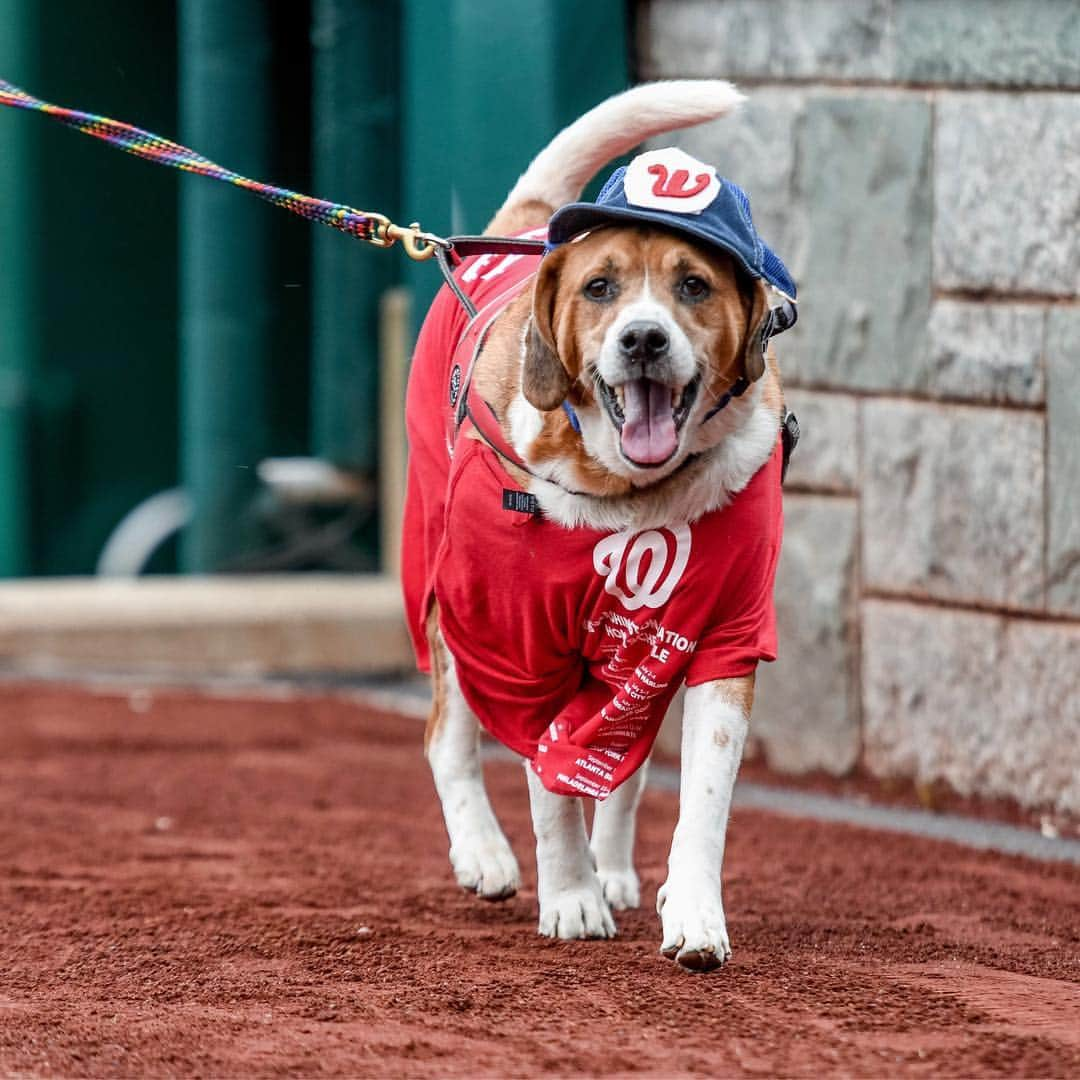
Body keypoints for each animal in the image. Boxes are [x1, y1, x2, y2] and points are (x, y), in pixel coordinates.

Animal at [401, 79, 799, 976]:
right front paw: (571, 896)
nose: (644, 338)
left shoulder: (720, 637)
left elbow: (699, 800)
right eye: (600, 288)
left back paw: (615, 867)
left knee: (624, 767)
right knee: (448, 737)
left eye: (694, 286)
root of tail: (522, 227)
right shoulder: (519, 643)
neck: (631, 492)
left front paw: (691, 914)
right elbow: (550, 786)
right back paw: (486, 853)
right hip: (450, 603)